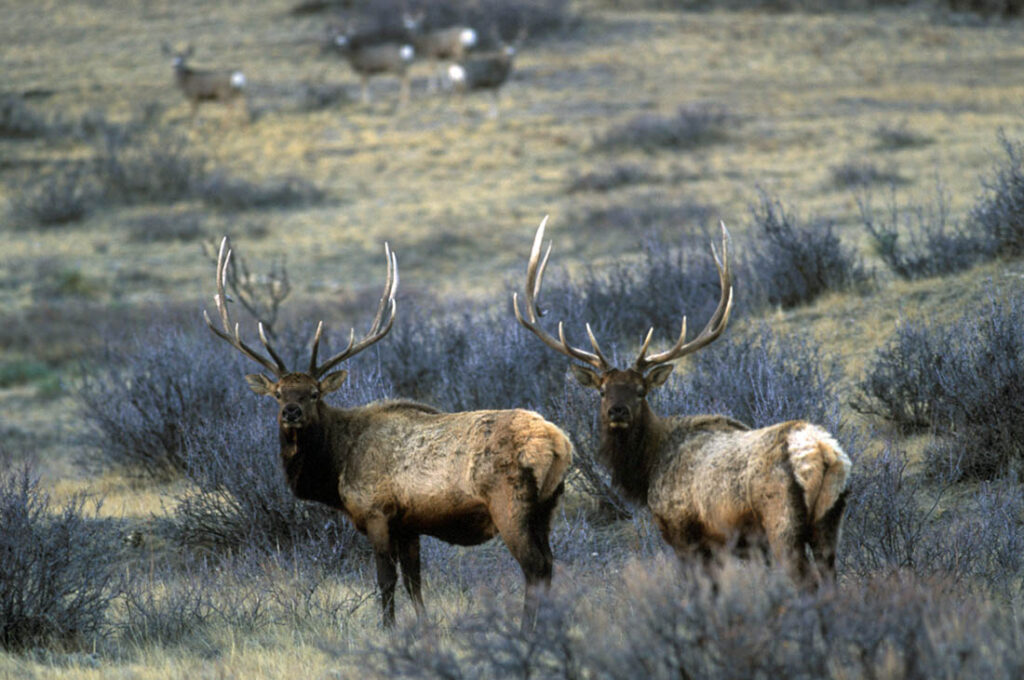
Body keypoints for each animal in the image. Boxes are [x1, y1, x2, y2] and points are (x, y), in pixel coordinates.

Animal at [205, 237, 577, 626]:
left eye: (314, 393)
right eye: (278, 393)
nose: (291, 411)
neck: (336, 466)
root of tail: (560, 443)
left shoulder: (377, 513)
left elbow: (385, 580)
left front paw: (389, 628)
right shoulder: (408, 524)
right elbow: (415, 581)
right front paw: (424, 625)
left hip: (510, 502)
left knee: (535, 566)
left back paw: (527, 628)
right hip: (548, 506)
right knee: (550, 564)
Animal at [516, 218, 851, 589]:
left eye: (641, 390)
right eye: (603, 390)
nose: (618, 411)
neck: (647, 470)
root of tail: (823, 453)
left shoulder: (682, 531)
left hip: (782, 523)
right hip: (829, 524)